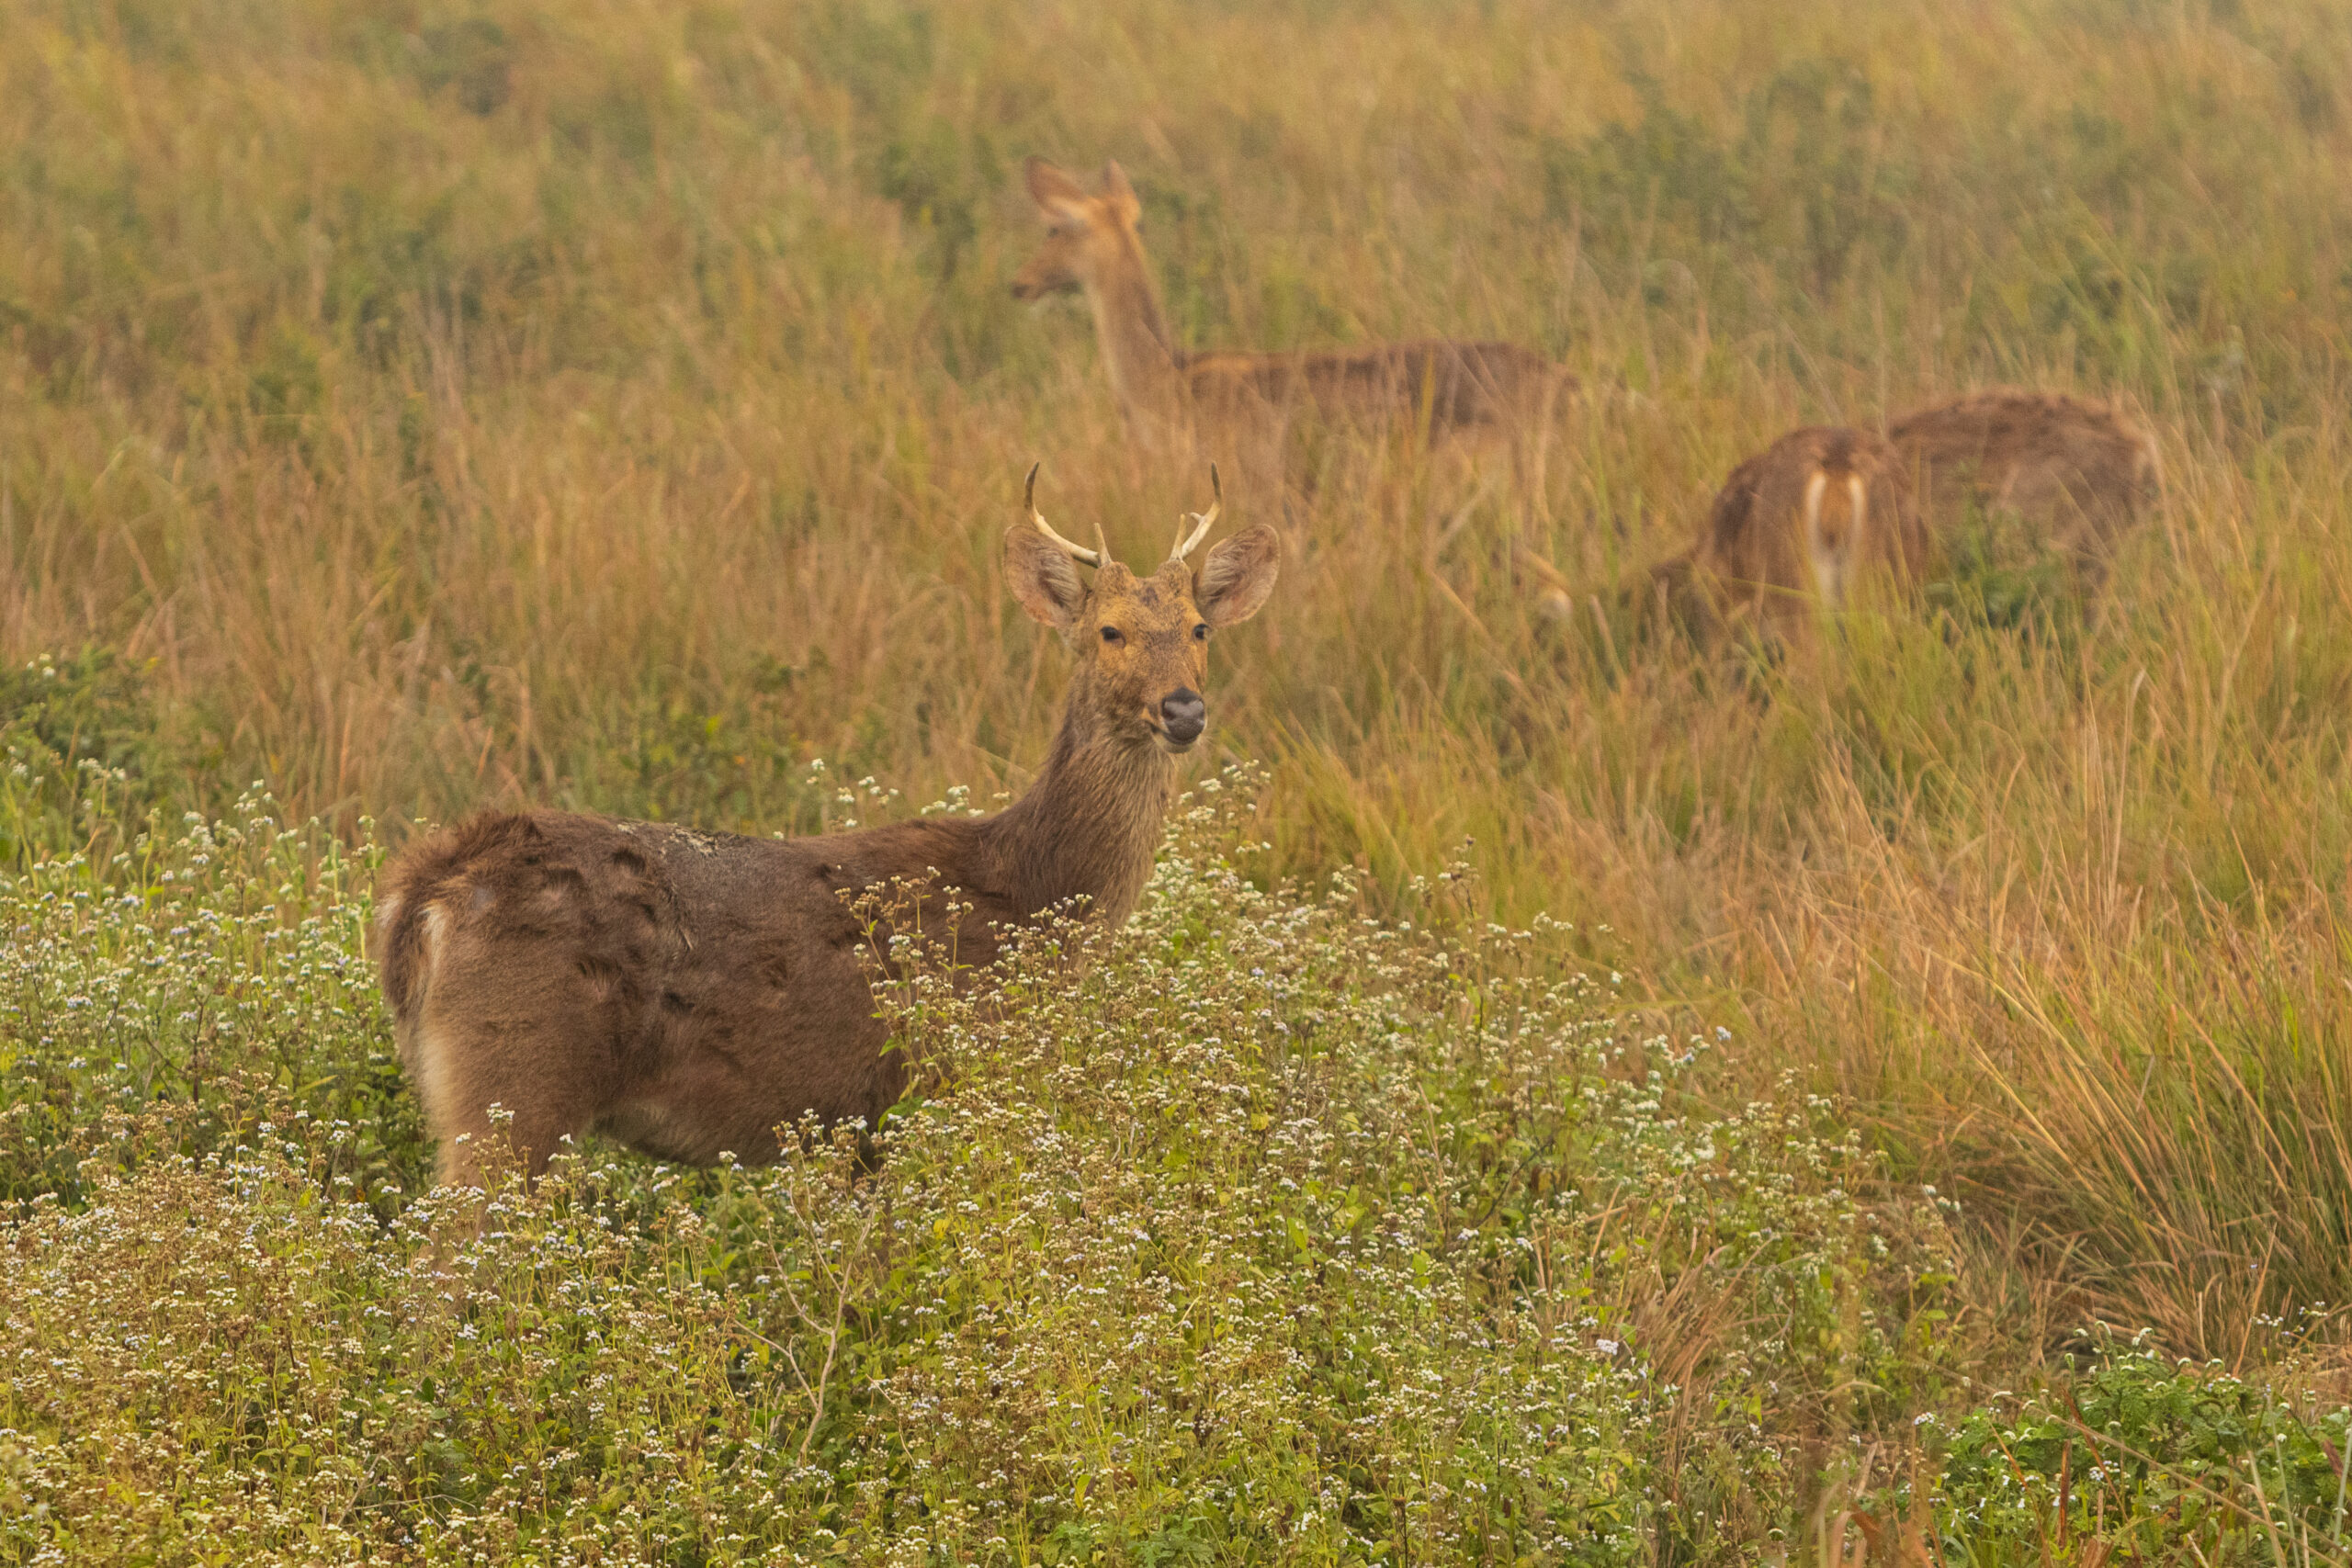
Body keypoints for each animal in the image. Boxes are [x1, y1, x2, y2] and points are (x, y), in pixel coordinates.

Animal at [376, 465, 1279, 1189]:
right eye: (1108, 630)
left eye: (1199, 628)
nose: (1183, 708)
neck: (1027, 892)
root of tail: (427, 892)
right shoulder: (937, 1085)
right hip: (516, 1083)